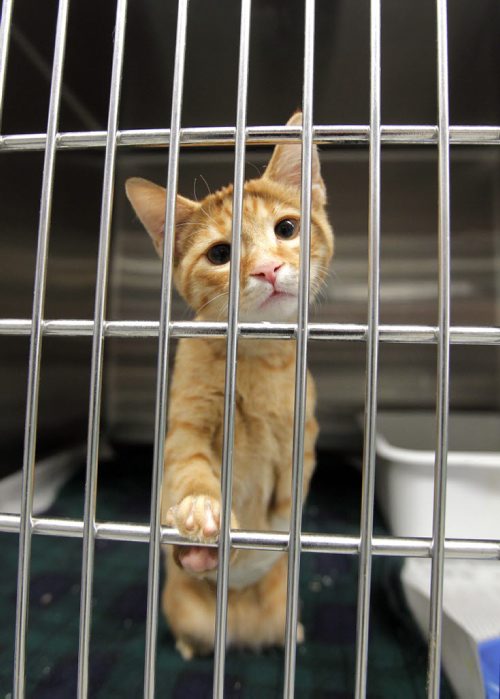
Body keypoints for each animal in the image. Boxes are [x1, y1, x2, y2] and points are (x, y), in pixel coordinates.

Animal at [127, 112, 334, 660]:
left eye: (286, 229)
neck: (257, 357)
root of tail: (236, 633)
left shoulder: (304, 437)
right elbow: (189, 469)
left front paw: (281, 520)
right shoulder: (186, 426)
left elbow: (291, 492)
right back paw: (200, 565)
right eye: (220, 253)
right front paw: (202, 506)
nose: (268, 268)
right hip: (183, 606)